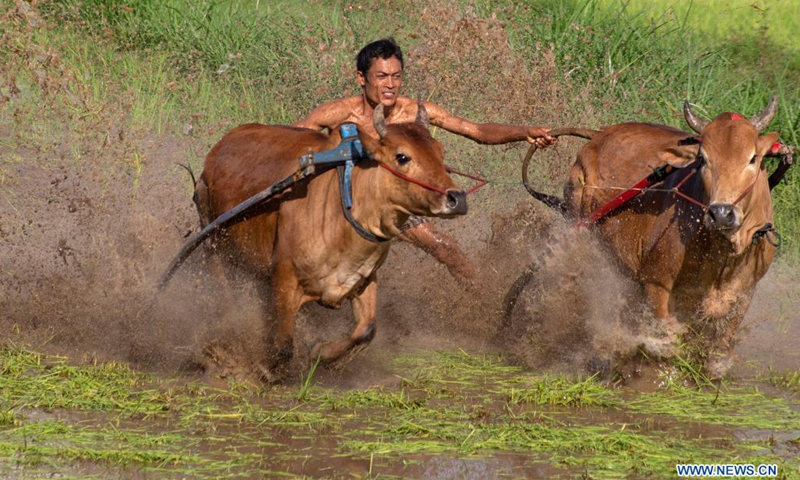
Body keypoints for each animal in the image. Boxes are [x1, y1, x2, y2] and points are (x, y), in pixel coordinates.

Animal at [194, 106, 466, 382]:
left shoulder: (364, 278)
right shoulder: (285, 277)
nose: (457, 198)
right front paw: (263, 368)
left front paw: (323, 353)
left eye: (440, 152)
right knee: (223, 292)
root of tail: (219, 148)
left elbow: (366, 329)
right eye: (402, 156)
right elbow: (284, 346)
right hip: (212, 241)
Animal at [532, 98, 780, 378]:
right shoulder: (656, 280)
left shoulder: (745, 290)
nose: (721, 213)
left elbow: (719, 350)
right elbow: (664, 340)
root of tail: (599, 135)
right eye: (703, 159)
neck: (722, 250)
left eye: (753, 158)